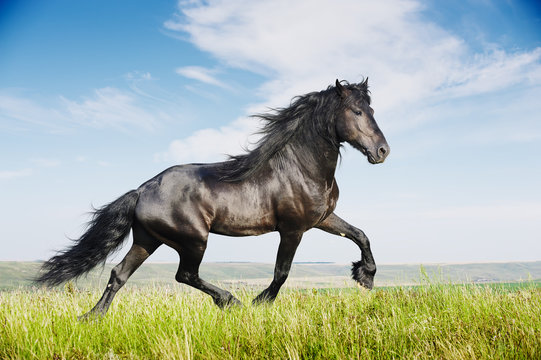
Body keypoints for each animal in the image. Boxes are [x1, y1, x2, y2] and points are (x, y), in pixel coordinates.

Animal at [35, 79, 388, 318]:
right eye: (357, 111)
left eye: (372, 109)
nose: (382, 151)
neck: (299, 167)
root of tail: (141, 190)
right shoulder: (293, 229)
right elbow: (282, 272)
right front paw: (260, 303)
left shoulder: (322, 219)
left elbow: (360, 235)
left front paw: (365, 277)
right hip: (193, 239)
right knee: (185, 275)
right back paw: (230, 301)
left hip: (147, 239)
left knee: (119, 274)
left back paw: (91, 318)